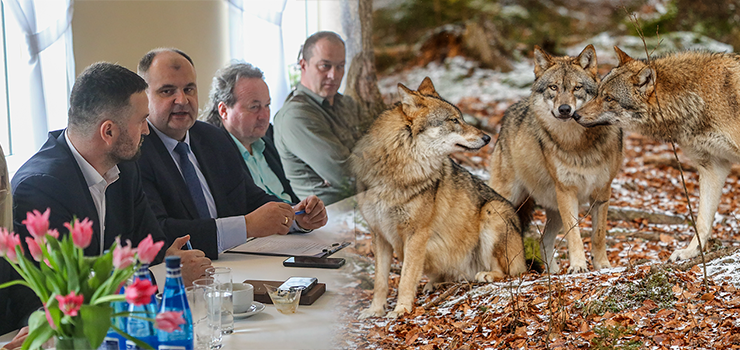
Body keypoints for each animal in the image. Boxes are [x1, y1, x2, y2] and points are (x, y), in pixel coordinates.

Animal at [352, 77, 528, 320]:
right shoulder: (379, 235)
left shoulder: (416, 234)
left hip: (493, 210)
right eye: (454, 120)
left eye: (462, 117)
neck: (396, 170)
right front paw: (374, 311)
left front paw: (400, 310)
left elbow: (406, 278)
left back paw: (486, 275)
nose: (487, 137)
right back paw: (434, 283)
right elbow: (380, 282)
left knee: (510, 273)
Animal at [492, 44, 624, 274]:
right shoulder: (566, 191)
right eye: (553, 87)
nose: (564, 109)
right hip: (508, 200)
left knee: (543, 241)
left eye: (577, 88)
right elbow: (575, 235)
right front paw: (578, 266)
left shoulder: (602, 192)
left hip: (553, 210)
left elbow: (598, 235)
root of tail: (508, 113)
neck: (577, 144)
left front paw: (602, 265)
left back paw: (552, 272)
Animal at [580, 46, 740, 262]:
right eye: (597, 94)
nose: (575, 114)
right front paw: (690, 252)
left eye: (609, 98)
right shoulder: (713, 167)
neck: (700, 98)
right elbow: (702, 221)